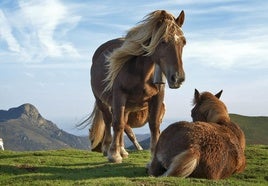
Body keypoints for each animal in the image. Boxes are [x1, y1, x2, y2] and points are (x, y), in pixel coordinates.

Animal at [81, 9, 186, 163]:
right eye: (163, 41)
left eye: (183, 42)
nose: (178, 78)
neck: (141, 72)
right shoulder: (119, 96)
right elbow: (117, 123)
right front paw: (114, 155)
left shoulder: (158, 97)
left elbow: (154, 125)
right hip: (102, 100)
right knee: (109, 120)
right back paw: (108, 148)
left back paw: (122, 150)